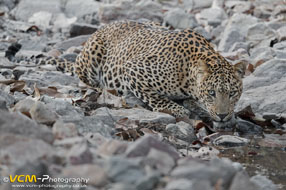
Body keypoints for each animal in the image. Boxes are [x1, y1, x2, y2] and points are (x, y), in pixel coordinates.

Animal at [40, 20, 246, 123]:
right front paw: (177, 109)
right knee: (86, 80)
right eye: (211, 93)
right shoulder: (133, 70)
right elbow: (156, 97)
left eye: (232, 93)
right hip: (91, 58)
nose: (223, 115)